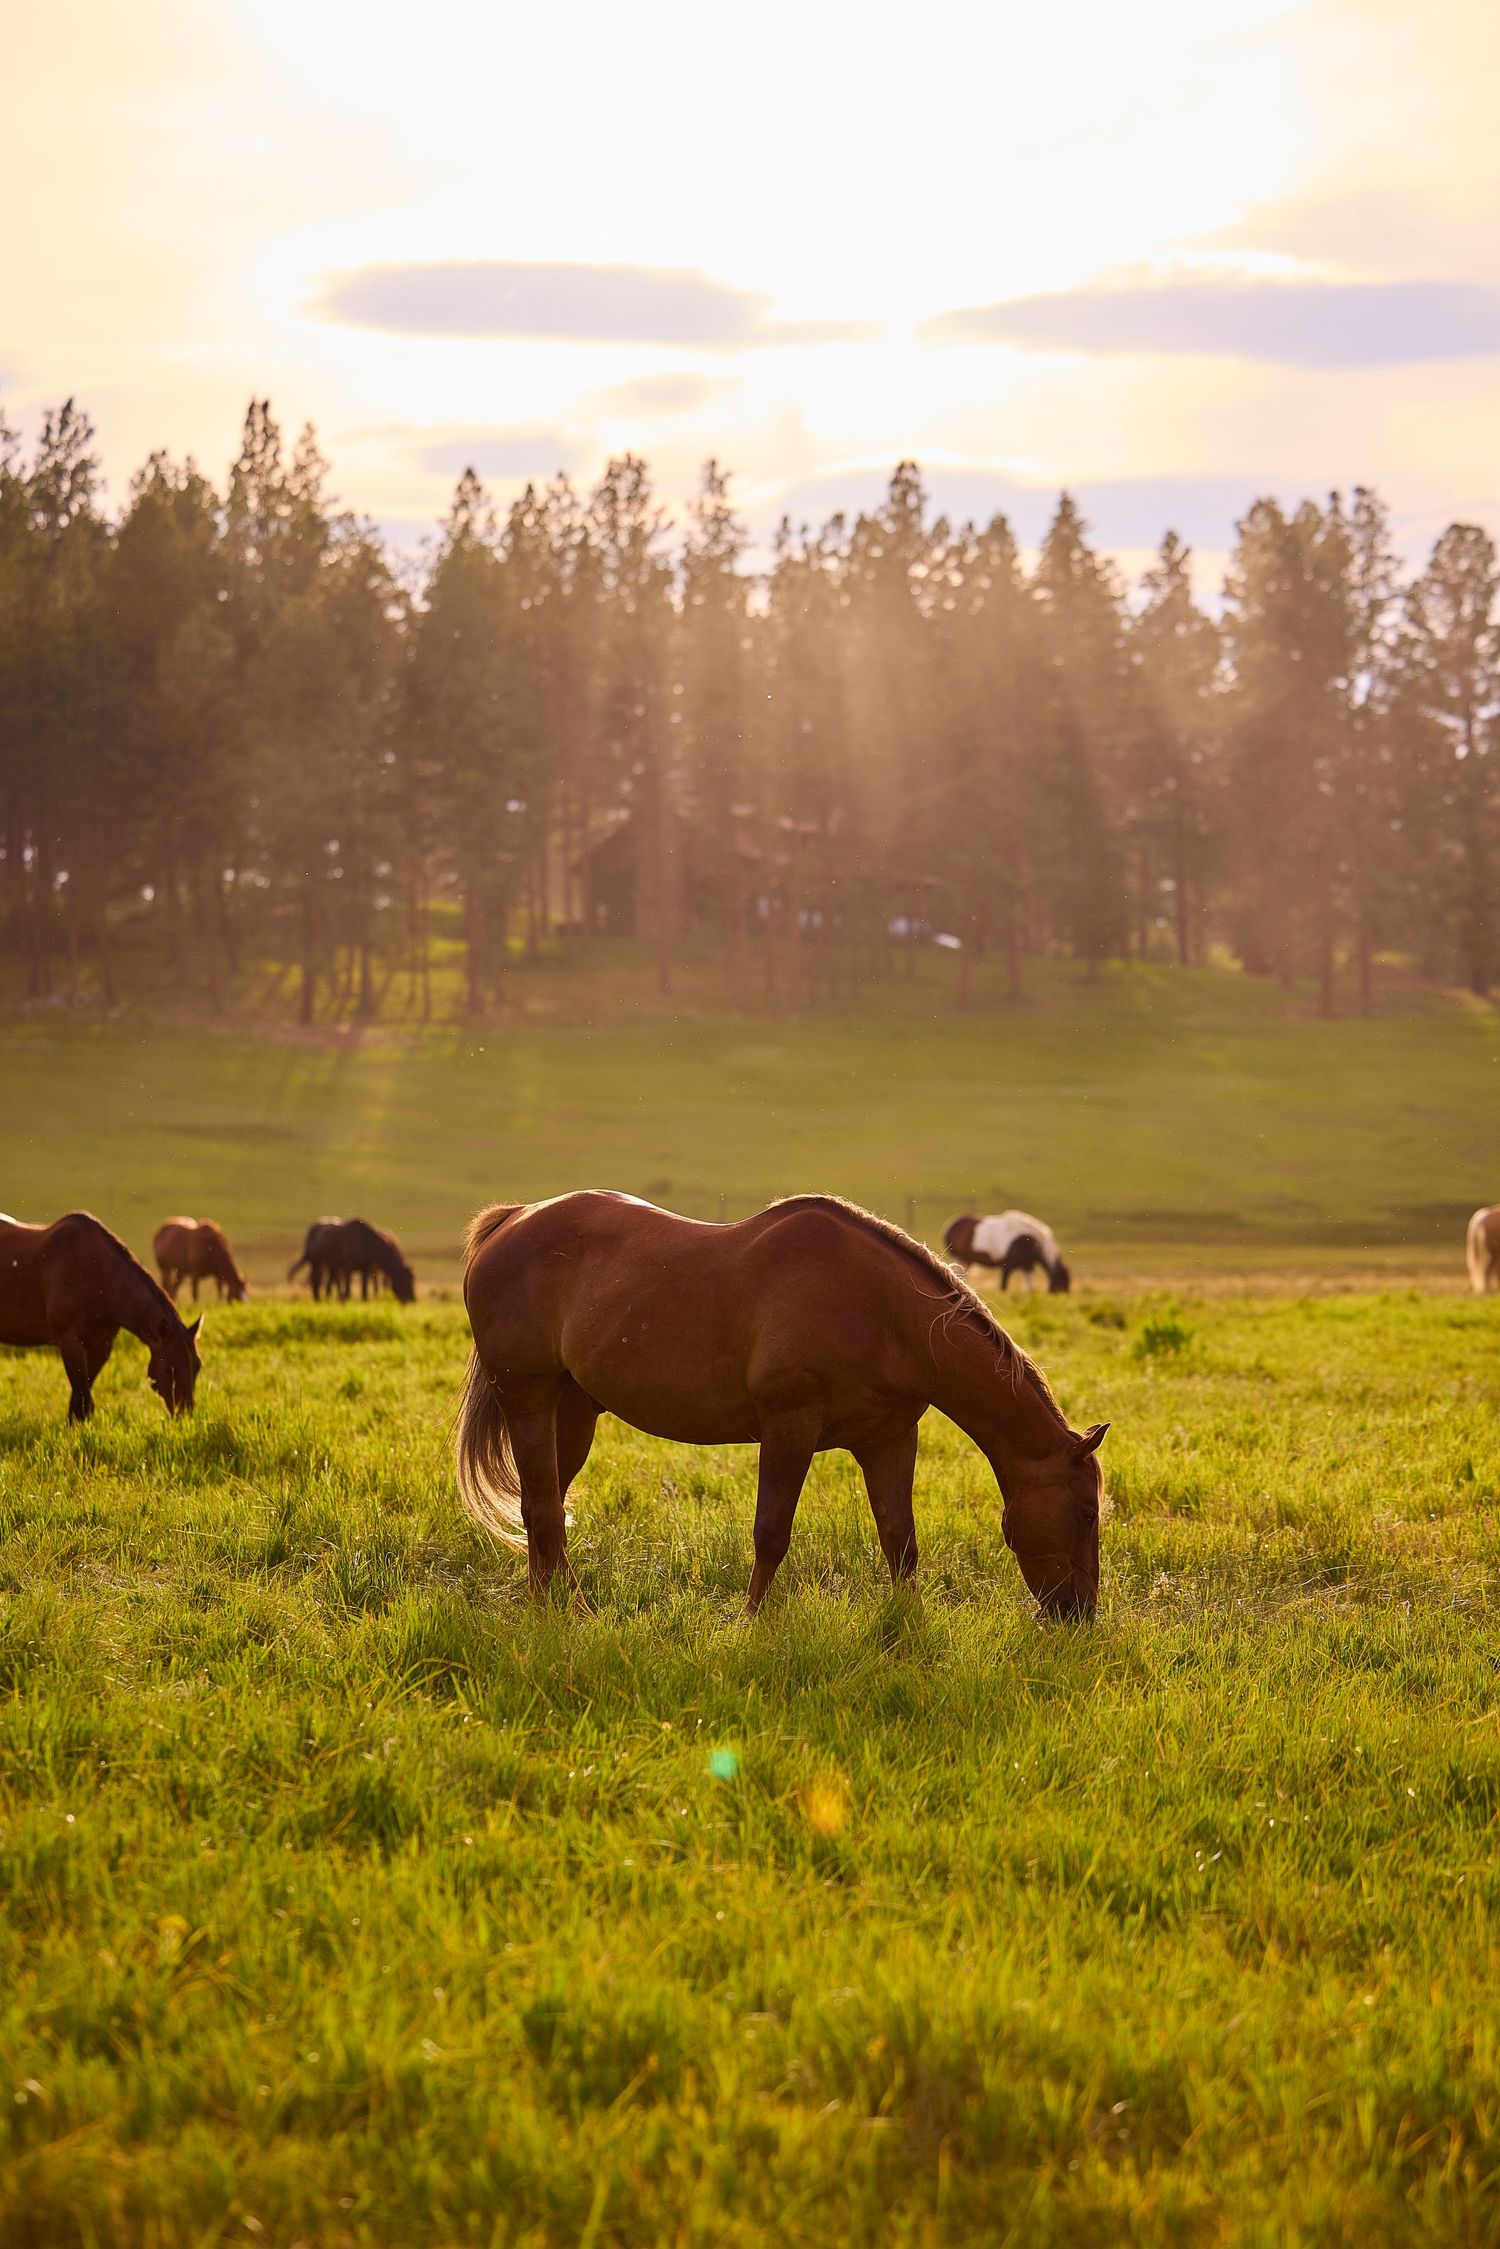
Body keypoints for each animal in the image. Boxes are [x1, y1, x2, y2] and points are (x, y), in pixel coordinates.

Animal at [0, 1211, 203, 1421]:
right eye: (169, 1369)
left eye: (197, 1366)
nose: (185, 1414)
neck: (97, 1275)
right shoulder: (70, 1342)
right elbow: (82, 1399)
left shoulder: (102, 1346)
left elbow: (82, 1399)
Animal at [457, 1191, 1106, 1619]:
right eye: (1084, 1513)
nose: (1078, 1614)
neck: (878, 1312)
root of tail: (512, 1220)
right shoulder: (788, 1429)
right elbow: (771, 1532)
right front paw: (749, 1625)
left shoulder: (889, 1439)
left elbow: (900, 1541)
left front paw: (905, 1628)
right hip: (528, 1400)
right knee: (542, 1511)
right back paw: (570, 1615)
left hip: (572, 1414)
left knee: (545, 1510)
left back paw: (553, 1608)